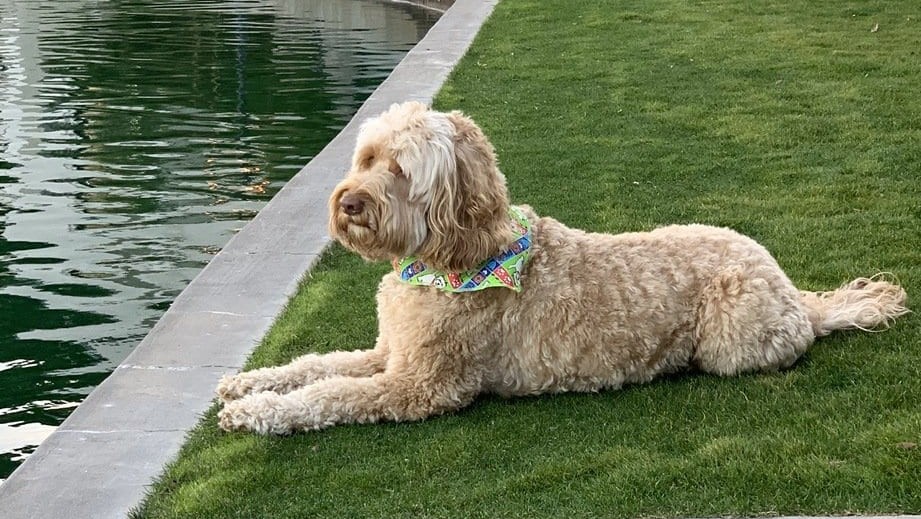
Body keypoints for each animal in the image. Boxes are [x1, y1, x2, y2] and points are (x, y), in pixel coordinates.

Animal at [216, 101, 904, 434]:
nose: (350, 203)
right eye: (366, 157)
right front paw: (249, 383)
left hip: (731, 343)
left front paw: (260, 413)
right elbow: (317, 364)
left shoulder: (422, 383)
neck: (456, 258)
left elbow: (330, 394)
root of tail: (791, 287)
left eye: (402, 171)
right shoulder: (392, 351)